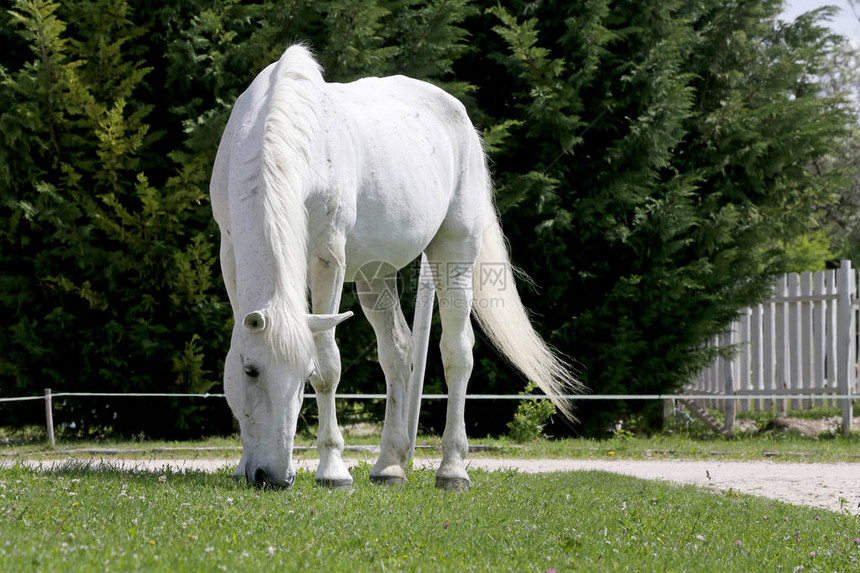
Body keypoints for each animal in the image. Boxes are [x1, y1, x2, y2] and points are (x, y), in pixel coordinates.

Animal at [212, 45, 580, 492]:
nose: (273, 476)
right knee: (398, 353)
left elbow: (330, 366)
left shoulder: (326, 258)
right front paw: (240, 464)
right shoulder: (231, 253)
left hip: (454, 253)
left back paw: (452, 469)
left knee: (457, 352)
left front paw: (332, 470)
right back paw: (390, 464)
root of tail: (457, 112)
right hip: (375, 275)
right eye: (250, 371)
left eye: (303, 375)